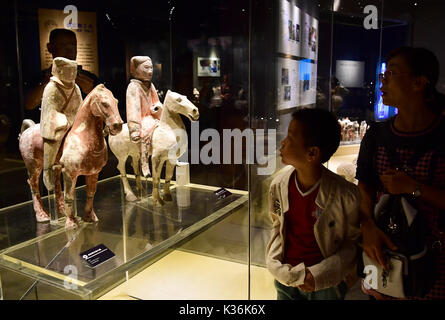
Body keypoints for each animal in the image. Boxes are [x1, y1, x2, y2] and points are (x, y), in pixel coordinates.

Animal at [18, 84, 122, 229]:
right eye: (104, 103)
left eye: (116, 102)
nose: (117, 126)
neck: (82, 138)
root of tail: (27, 130)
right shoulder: (69, 173)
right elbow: (69, 196)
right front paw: (71, 222)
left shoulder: (93, 173)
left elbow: (91, 193)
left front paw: (89, 217)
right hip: (34, 167)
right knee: (33, 185)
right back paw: (42, 215)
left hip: (55, 167)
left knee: (55, 184)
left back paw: (61, 210)